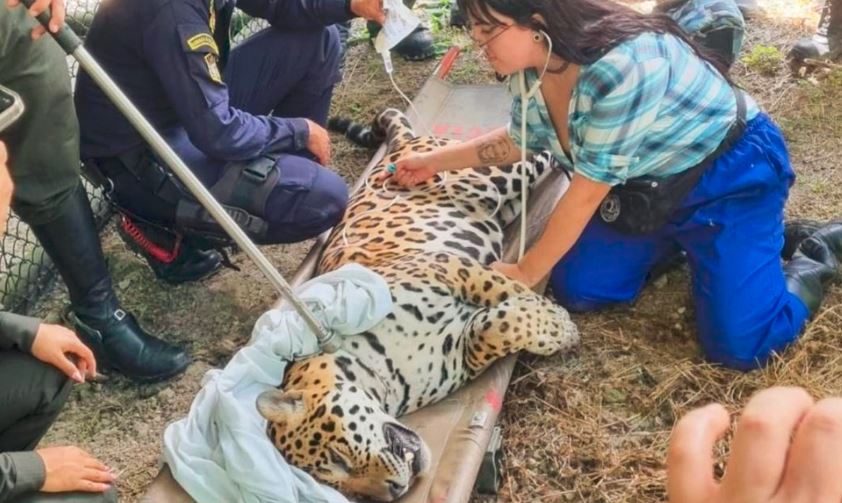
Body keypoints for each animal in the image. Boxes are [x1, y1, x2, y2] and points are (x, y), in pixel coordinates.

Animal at [257, 109, 578, 502]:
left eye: (338, 459)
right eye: (344, 490)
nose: (396, 491)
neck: (383, 376)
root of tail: (402, 146)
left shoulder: (446, 266)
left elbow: (505, 287)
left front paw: (558, 323)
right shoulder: (462, 351)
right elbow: (493, 328)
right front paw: (549, 323)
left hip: (487, 173)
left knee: (530, 146)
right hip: (503, 204)